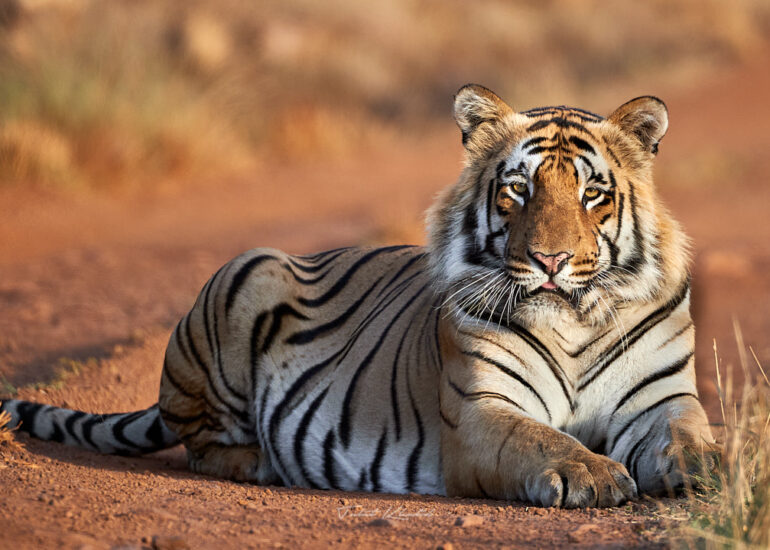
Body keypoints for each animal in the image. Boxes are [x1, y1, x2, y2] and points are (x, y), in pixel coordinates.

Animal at [1, 84, 718, 508]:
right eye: (518, 189)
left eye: (593, 193)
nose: (550, 260)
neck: (575, 319)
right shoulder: (482, 414)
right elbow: (540, 439)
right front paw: (595, 474)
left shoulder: (661, 401)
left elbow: (687, 436)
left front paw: (715, 469)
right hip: (246, 274)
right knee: (201, 444)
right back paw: (262, 462)